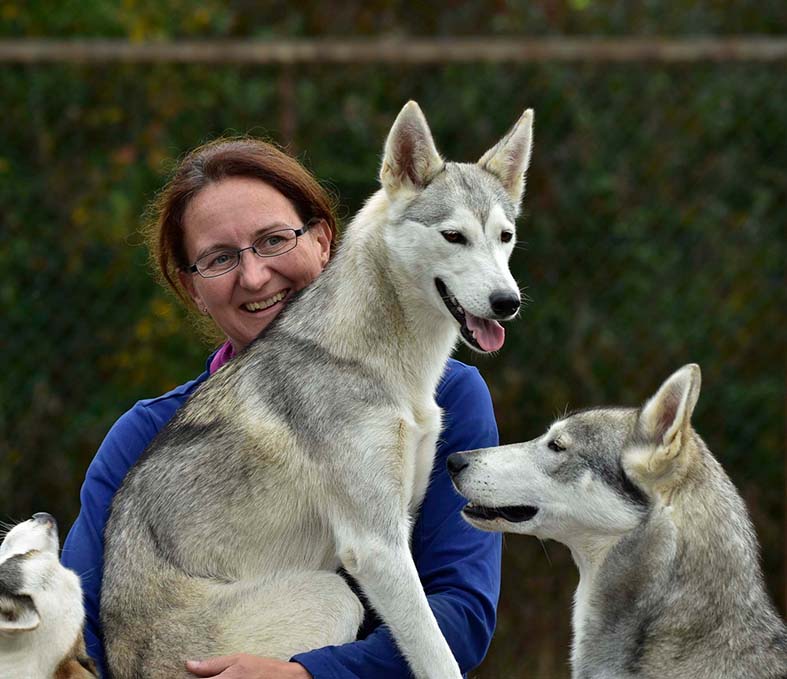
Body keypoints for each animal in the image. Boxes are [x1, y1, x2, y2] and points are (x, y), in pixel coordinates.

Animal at [103, 102, 536, 679]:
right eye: (453, 236)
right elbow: (437, 656)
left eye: (505, 237)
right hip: (335, 595)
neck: (390, 365)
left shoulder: (399, 519)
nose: (507, 302)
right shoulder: (376, 546)